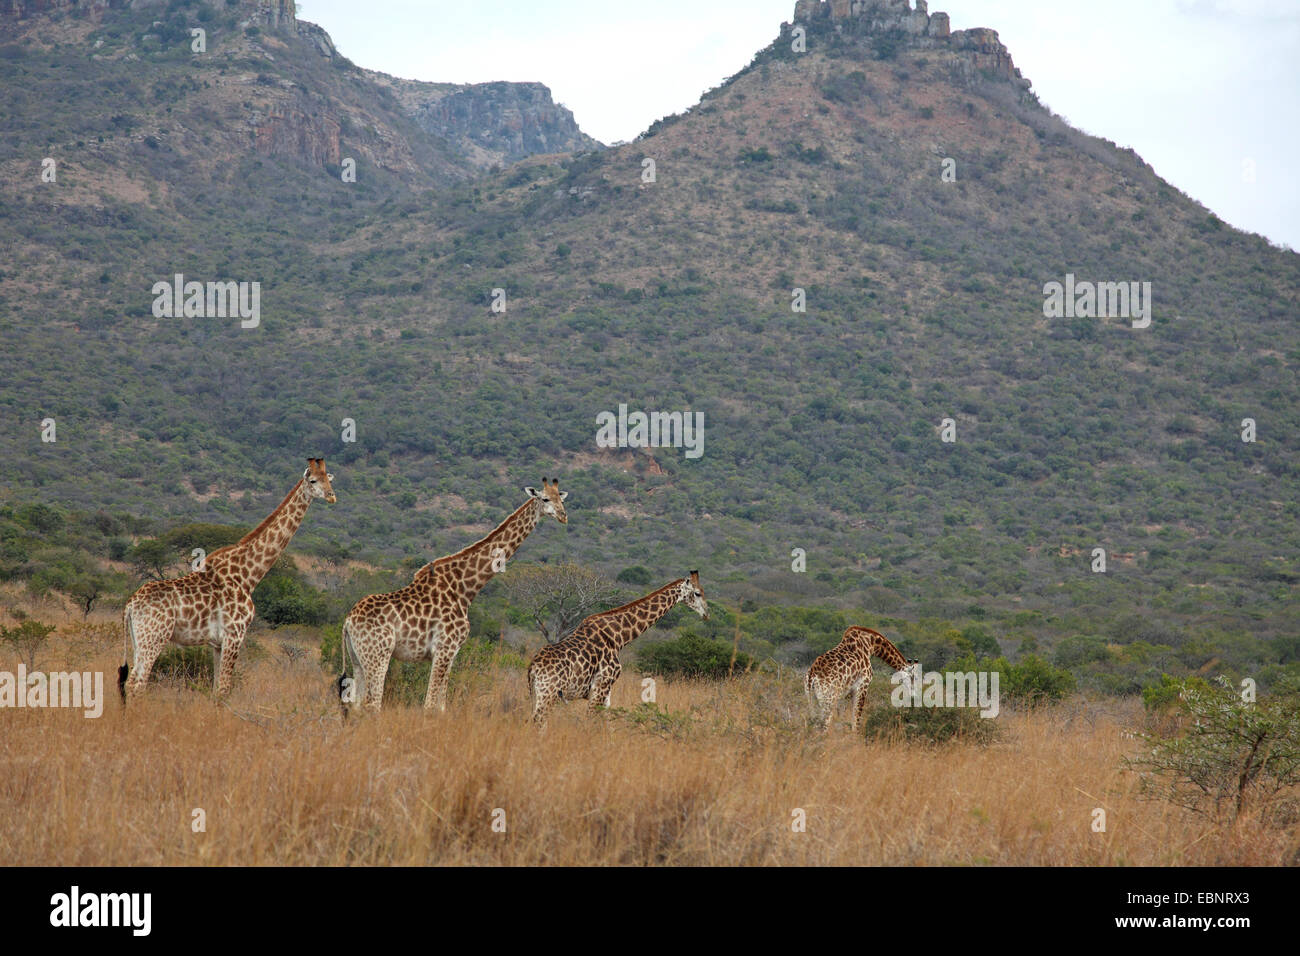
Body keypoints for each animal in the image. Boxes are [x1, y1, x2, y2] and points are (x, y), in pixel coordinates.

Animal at [118, 458, 337, 701]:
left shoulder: (217, 644)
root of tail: (130, 605)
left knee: (130, 683)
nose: (331, 496)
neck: (247, 576)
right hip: (154, 637)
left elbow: (216, 690)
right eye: (313, 480)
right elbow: (223, 690)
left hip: (138, 639)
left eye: (329, 479)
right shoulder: (234, 635)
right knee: (137, 683)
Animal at [338, 478, 568, 715]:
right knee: (372, 704)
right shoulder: (444, 648)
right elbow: (430, 705)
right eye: (545, 499)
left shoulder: (452, 652)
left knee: (357, 705)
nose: (563, 516)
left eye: (561, 498)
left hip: (358, 659)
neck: (464, 588)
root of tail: (348, 622)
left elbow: (441, 706)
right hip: (378, 655)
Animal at [527, 571, 709, 726]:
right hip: (548, 692)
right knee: (538, 719)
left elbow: (607, 722)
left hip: (537, 693)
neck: (618, 637)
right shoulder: (601, 685)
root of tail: (533, 667)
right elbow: (591, 721)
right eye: (697, 593)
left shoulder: (605, 691)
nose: (707, 614)